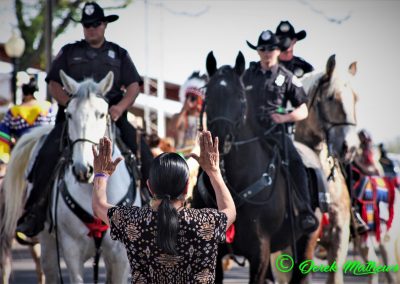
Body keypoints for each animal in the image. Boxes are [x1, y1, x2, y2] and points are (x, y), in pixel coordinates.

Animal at [0, 70, 141, 282]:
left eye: (101, 114)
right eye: (69, 114)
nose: (84, 169)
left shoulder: (120, 256)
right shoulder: (71, 249)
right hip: (48, 245)